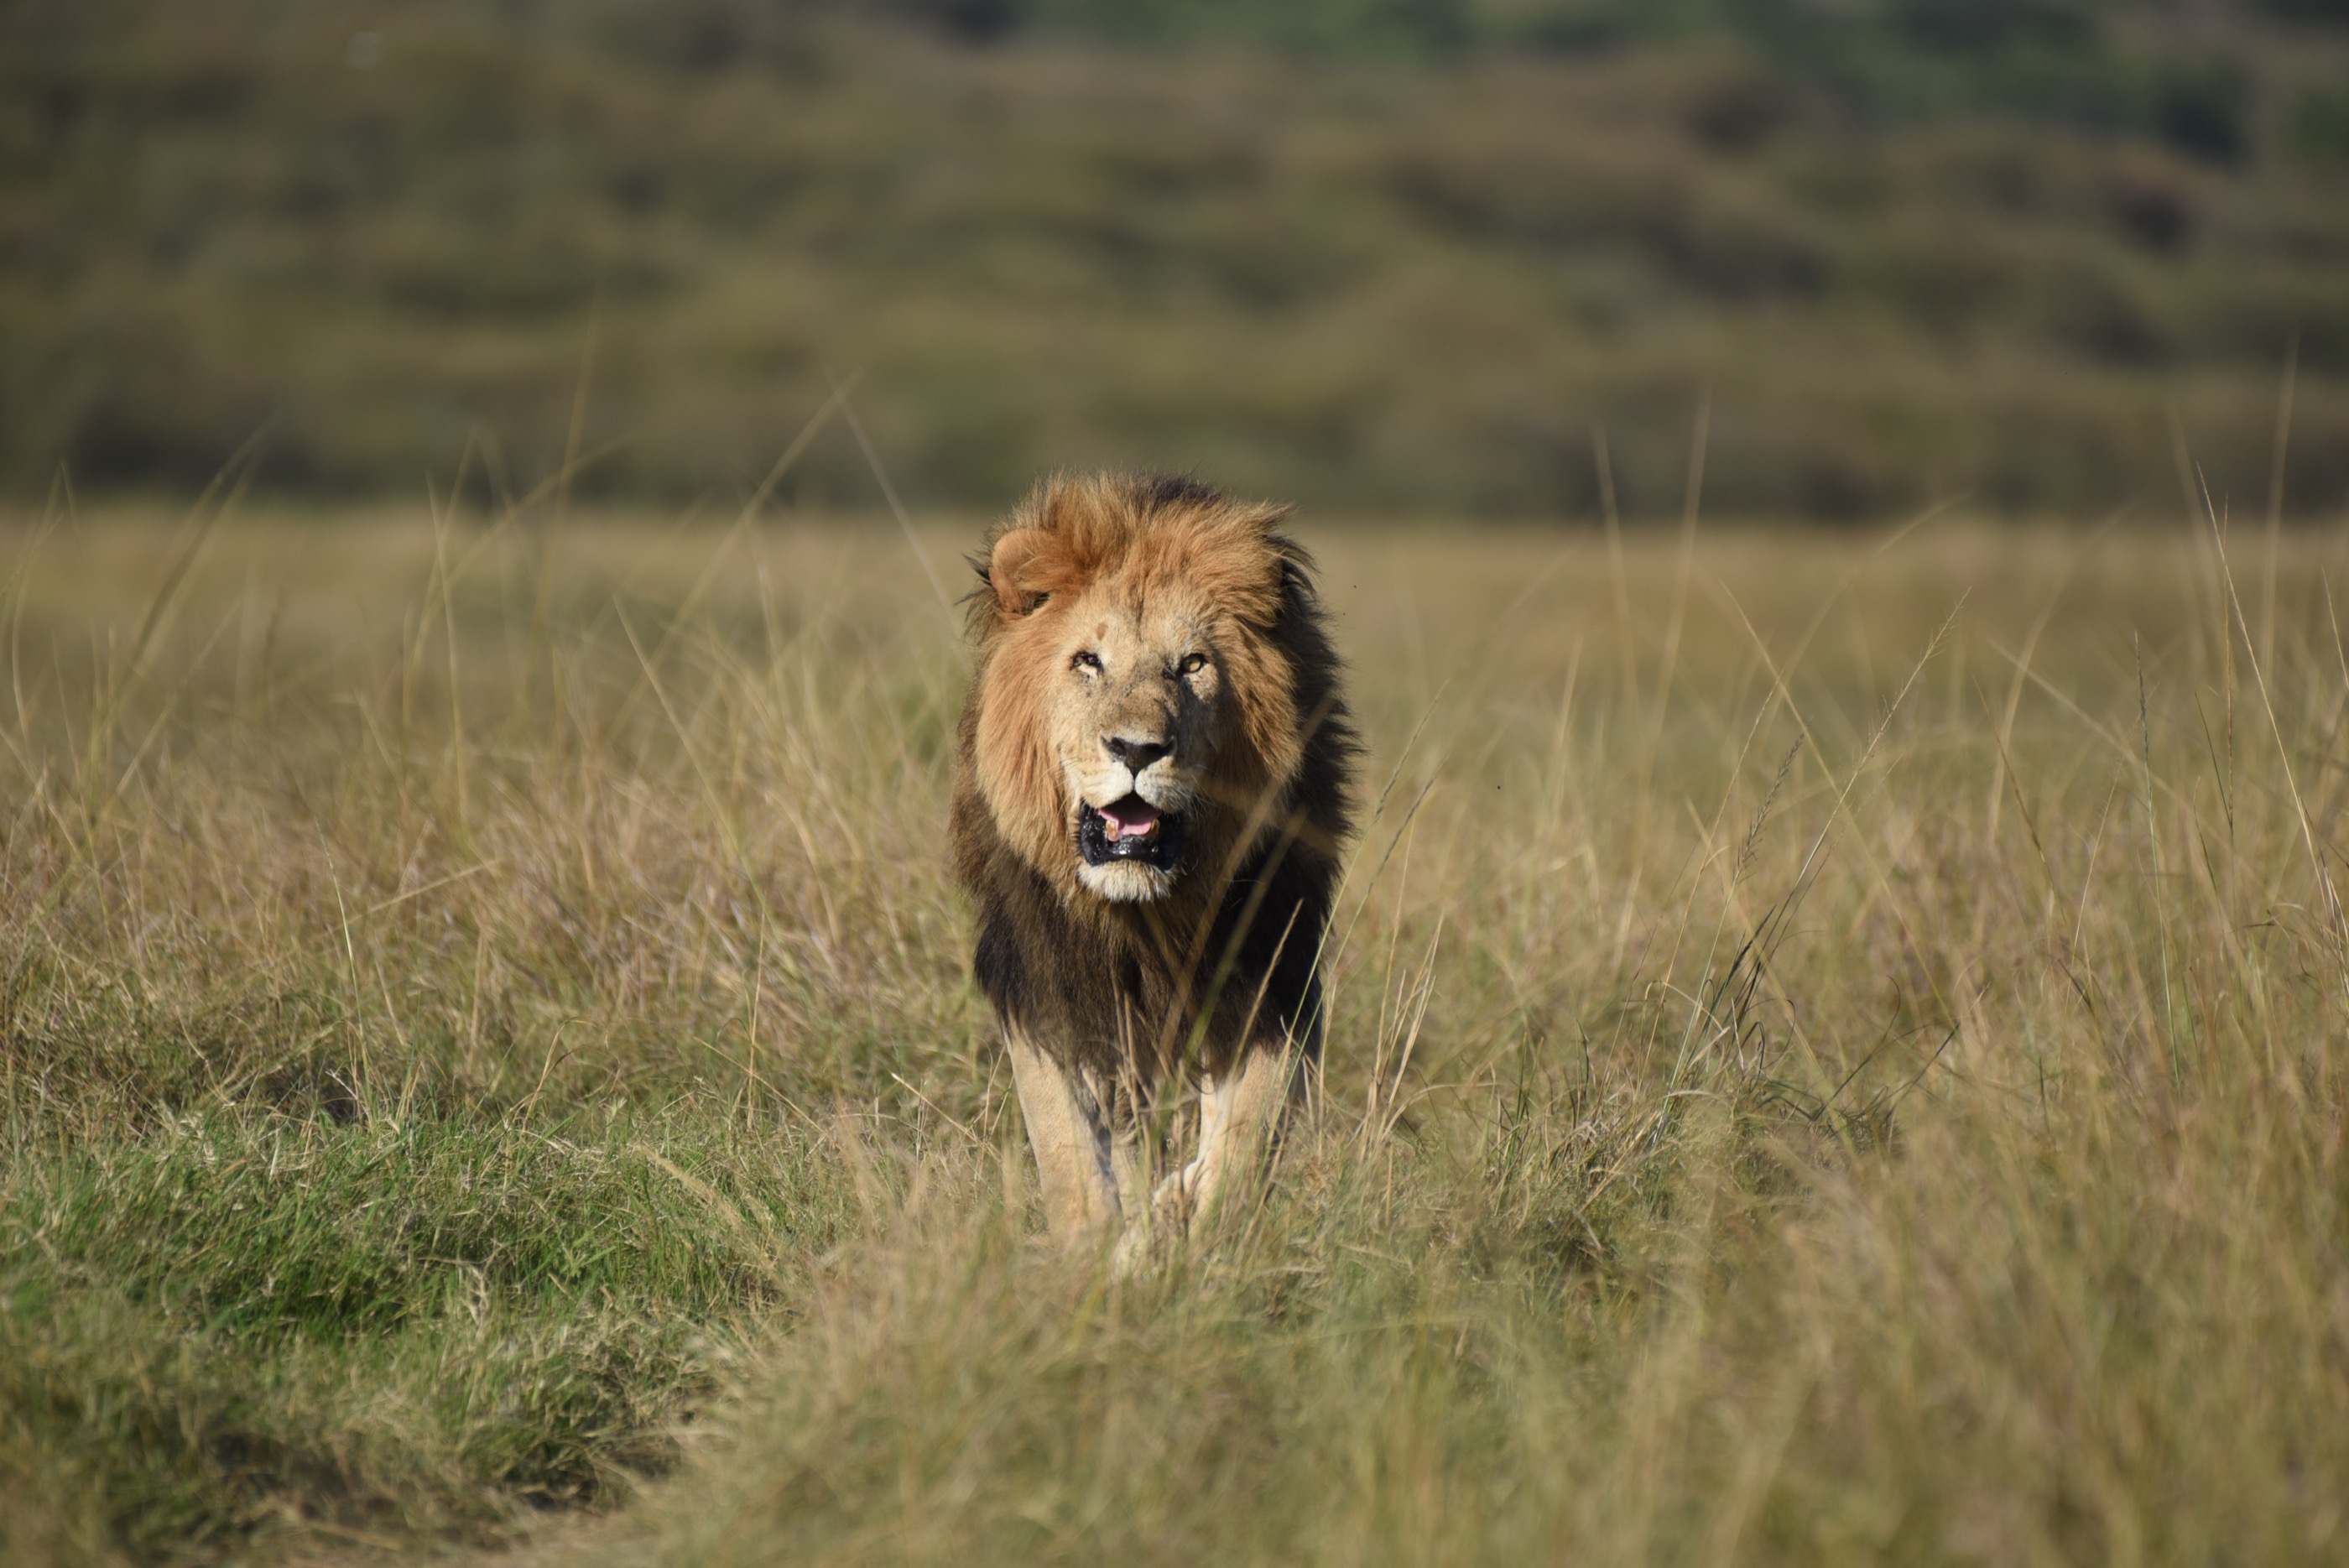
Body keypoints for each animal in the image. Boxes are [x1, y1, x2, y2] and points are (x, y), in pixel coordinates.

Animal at [950, 472, 1356, 1253]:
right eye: (1088, 661)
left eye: (1192, 664)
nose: (1137, 749)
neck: (1149, 913)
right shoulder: (1047, 988)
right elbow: (1069, 1151)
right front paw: (1101, 1249)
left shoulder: (1272, 978)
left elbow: (1243, 1145)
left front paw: (1179, 1227)